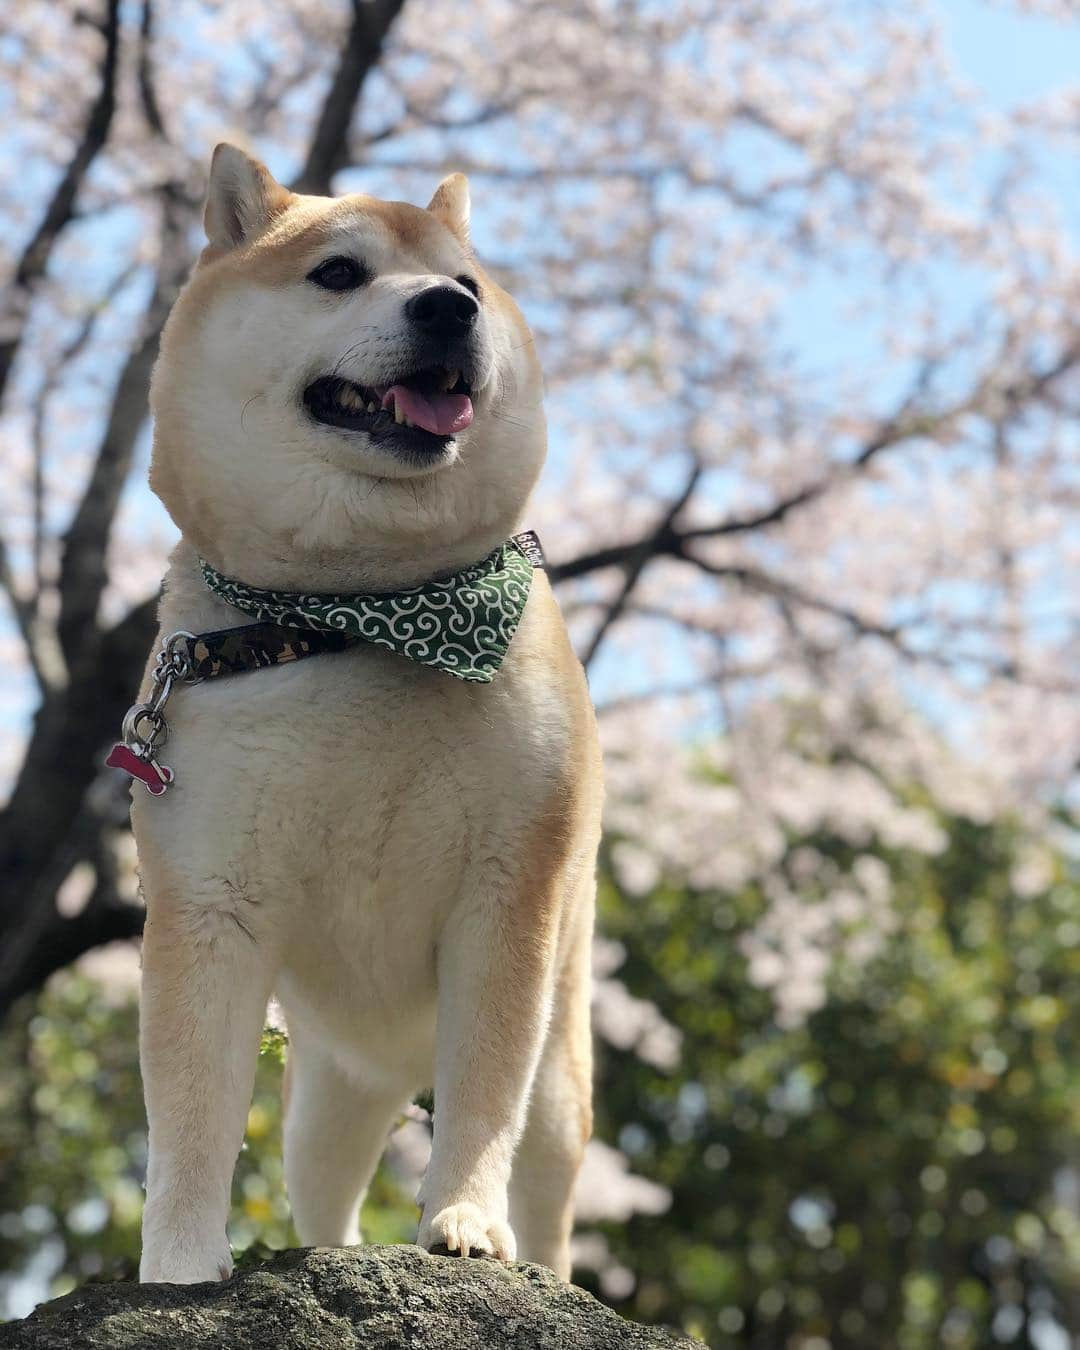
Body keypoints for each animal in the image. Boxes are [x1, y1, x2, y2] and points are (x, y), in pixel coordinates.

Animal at [131, 145, 602, 1285]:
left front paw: (465, 1223)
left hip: (561, 1060)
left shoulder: (507, 900)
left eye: (468, 285)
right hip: (332, 1091)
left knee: (549, 1174)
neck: (361, 615)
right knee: (325, 1195)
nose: (447, 308)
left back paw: (541, 1270)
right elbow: (193, 1116)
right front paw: (179, 1266)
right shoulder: (207, 902)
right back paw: (331, 1256)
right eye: (338, 273)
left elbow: (483, 1097)